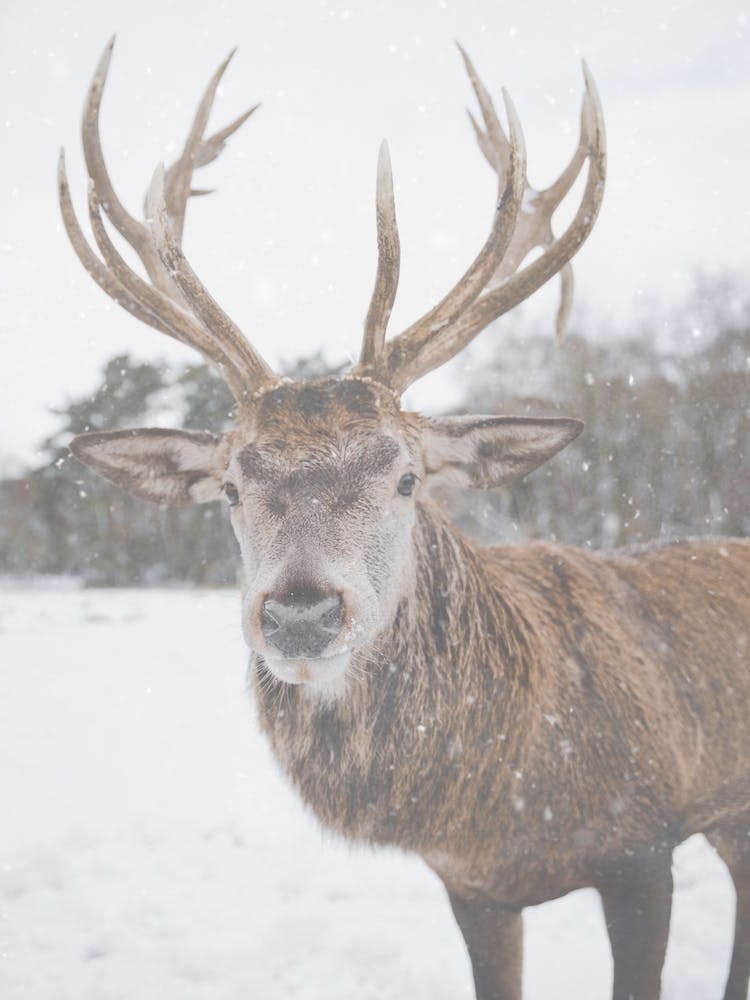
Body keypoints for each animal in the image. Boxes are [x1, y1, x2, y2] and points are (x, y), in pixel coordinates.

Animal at [59, 38, 750, 1000]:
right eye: (231, 487)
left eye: (406, 477)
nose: (301, 614)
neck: (503, 799)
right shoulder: (471, 887)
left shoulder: (644, 843)